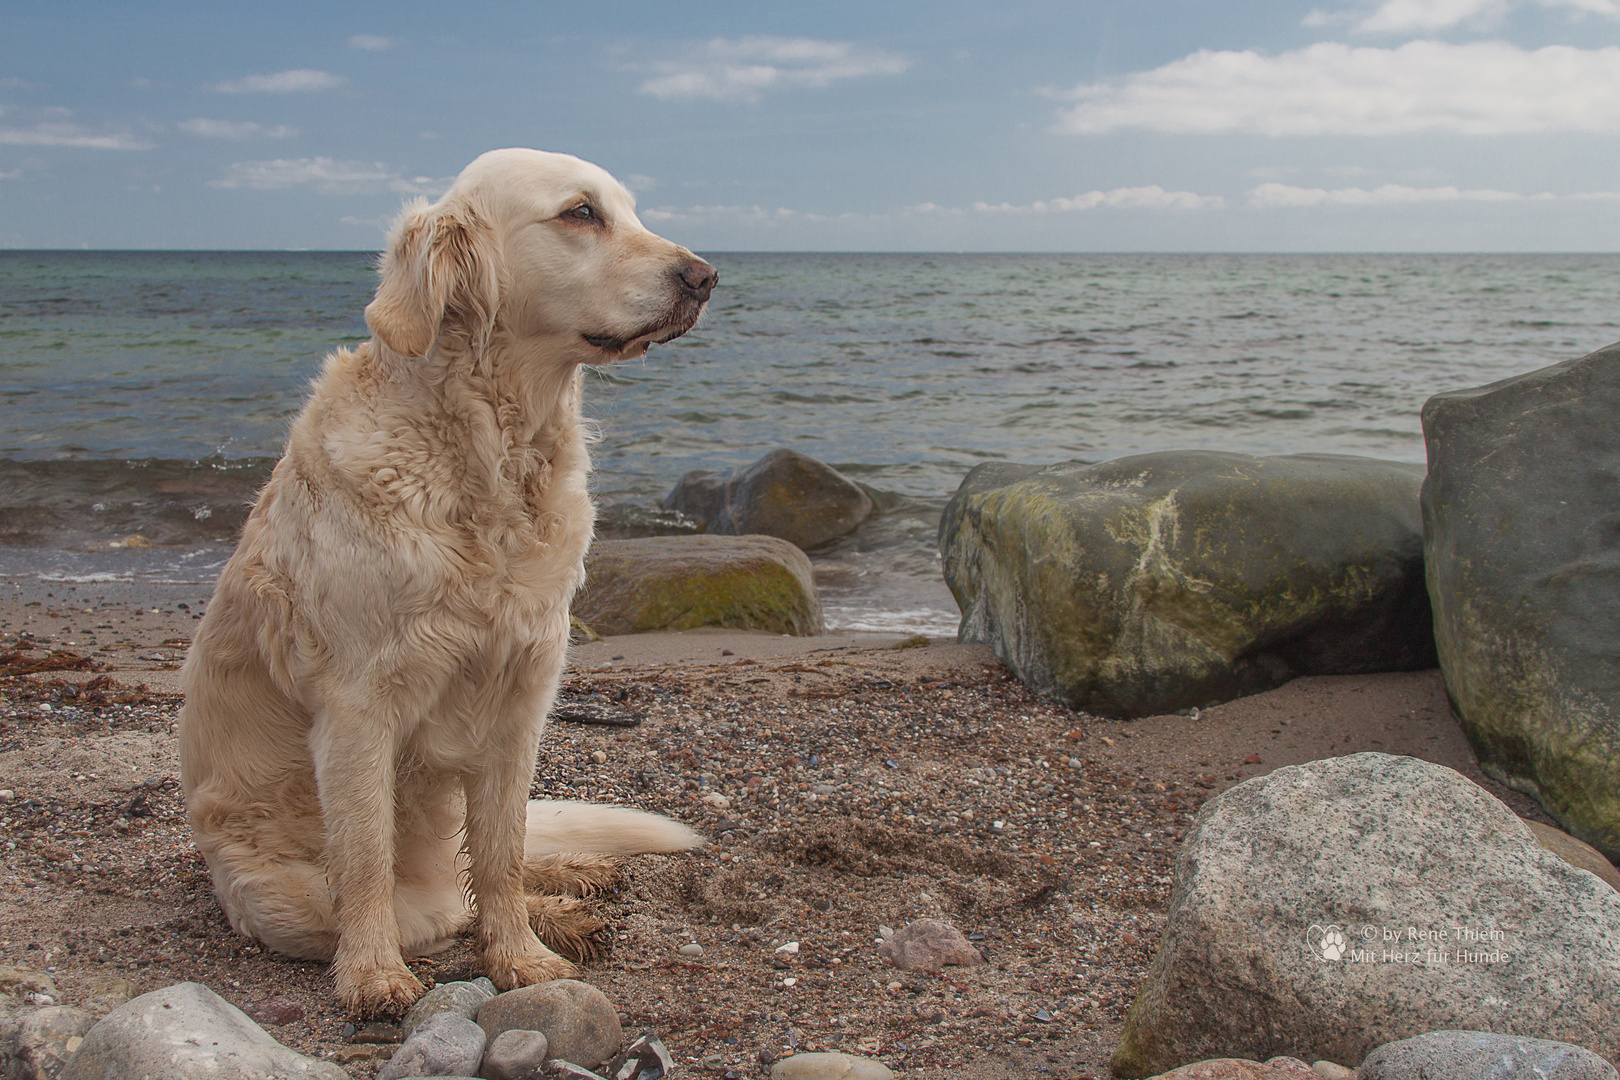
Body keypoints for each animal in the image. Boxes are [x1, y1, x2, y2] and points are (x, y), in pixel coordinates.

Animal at [175, 148, 716, 1016]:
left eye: (630, 211)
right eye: (580, 213)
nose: (704, 277)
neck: (493, 460)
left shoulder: (522, 699)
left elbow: (500, 850)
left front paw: (520, 956)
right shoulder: (358, 708)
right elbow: (367, 858)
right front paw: (372, 974)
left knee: (475, 877)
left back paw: (568, 887)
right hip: (273, 894)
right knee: (426, 910)